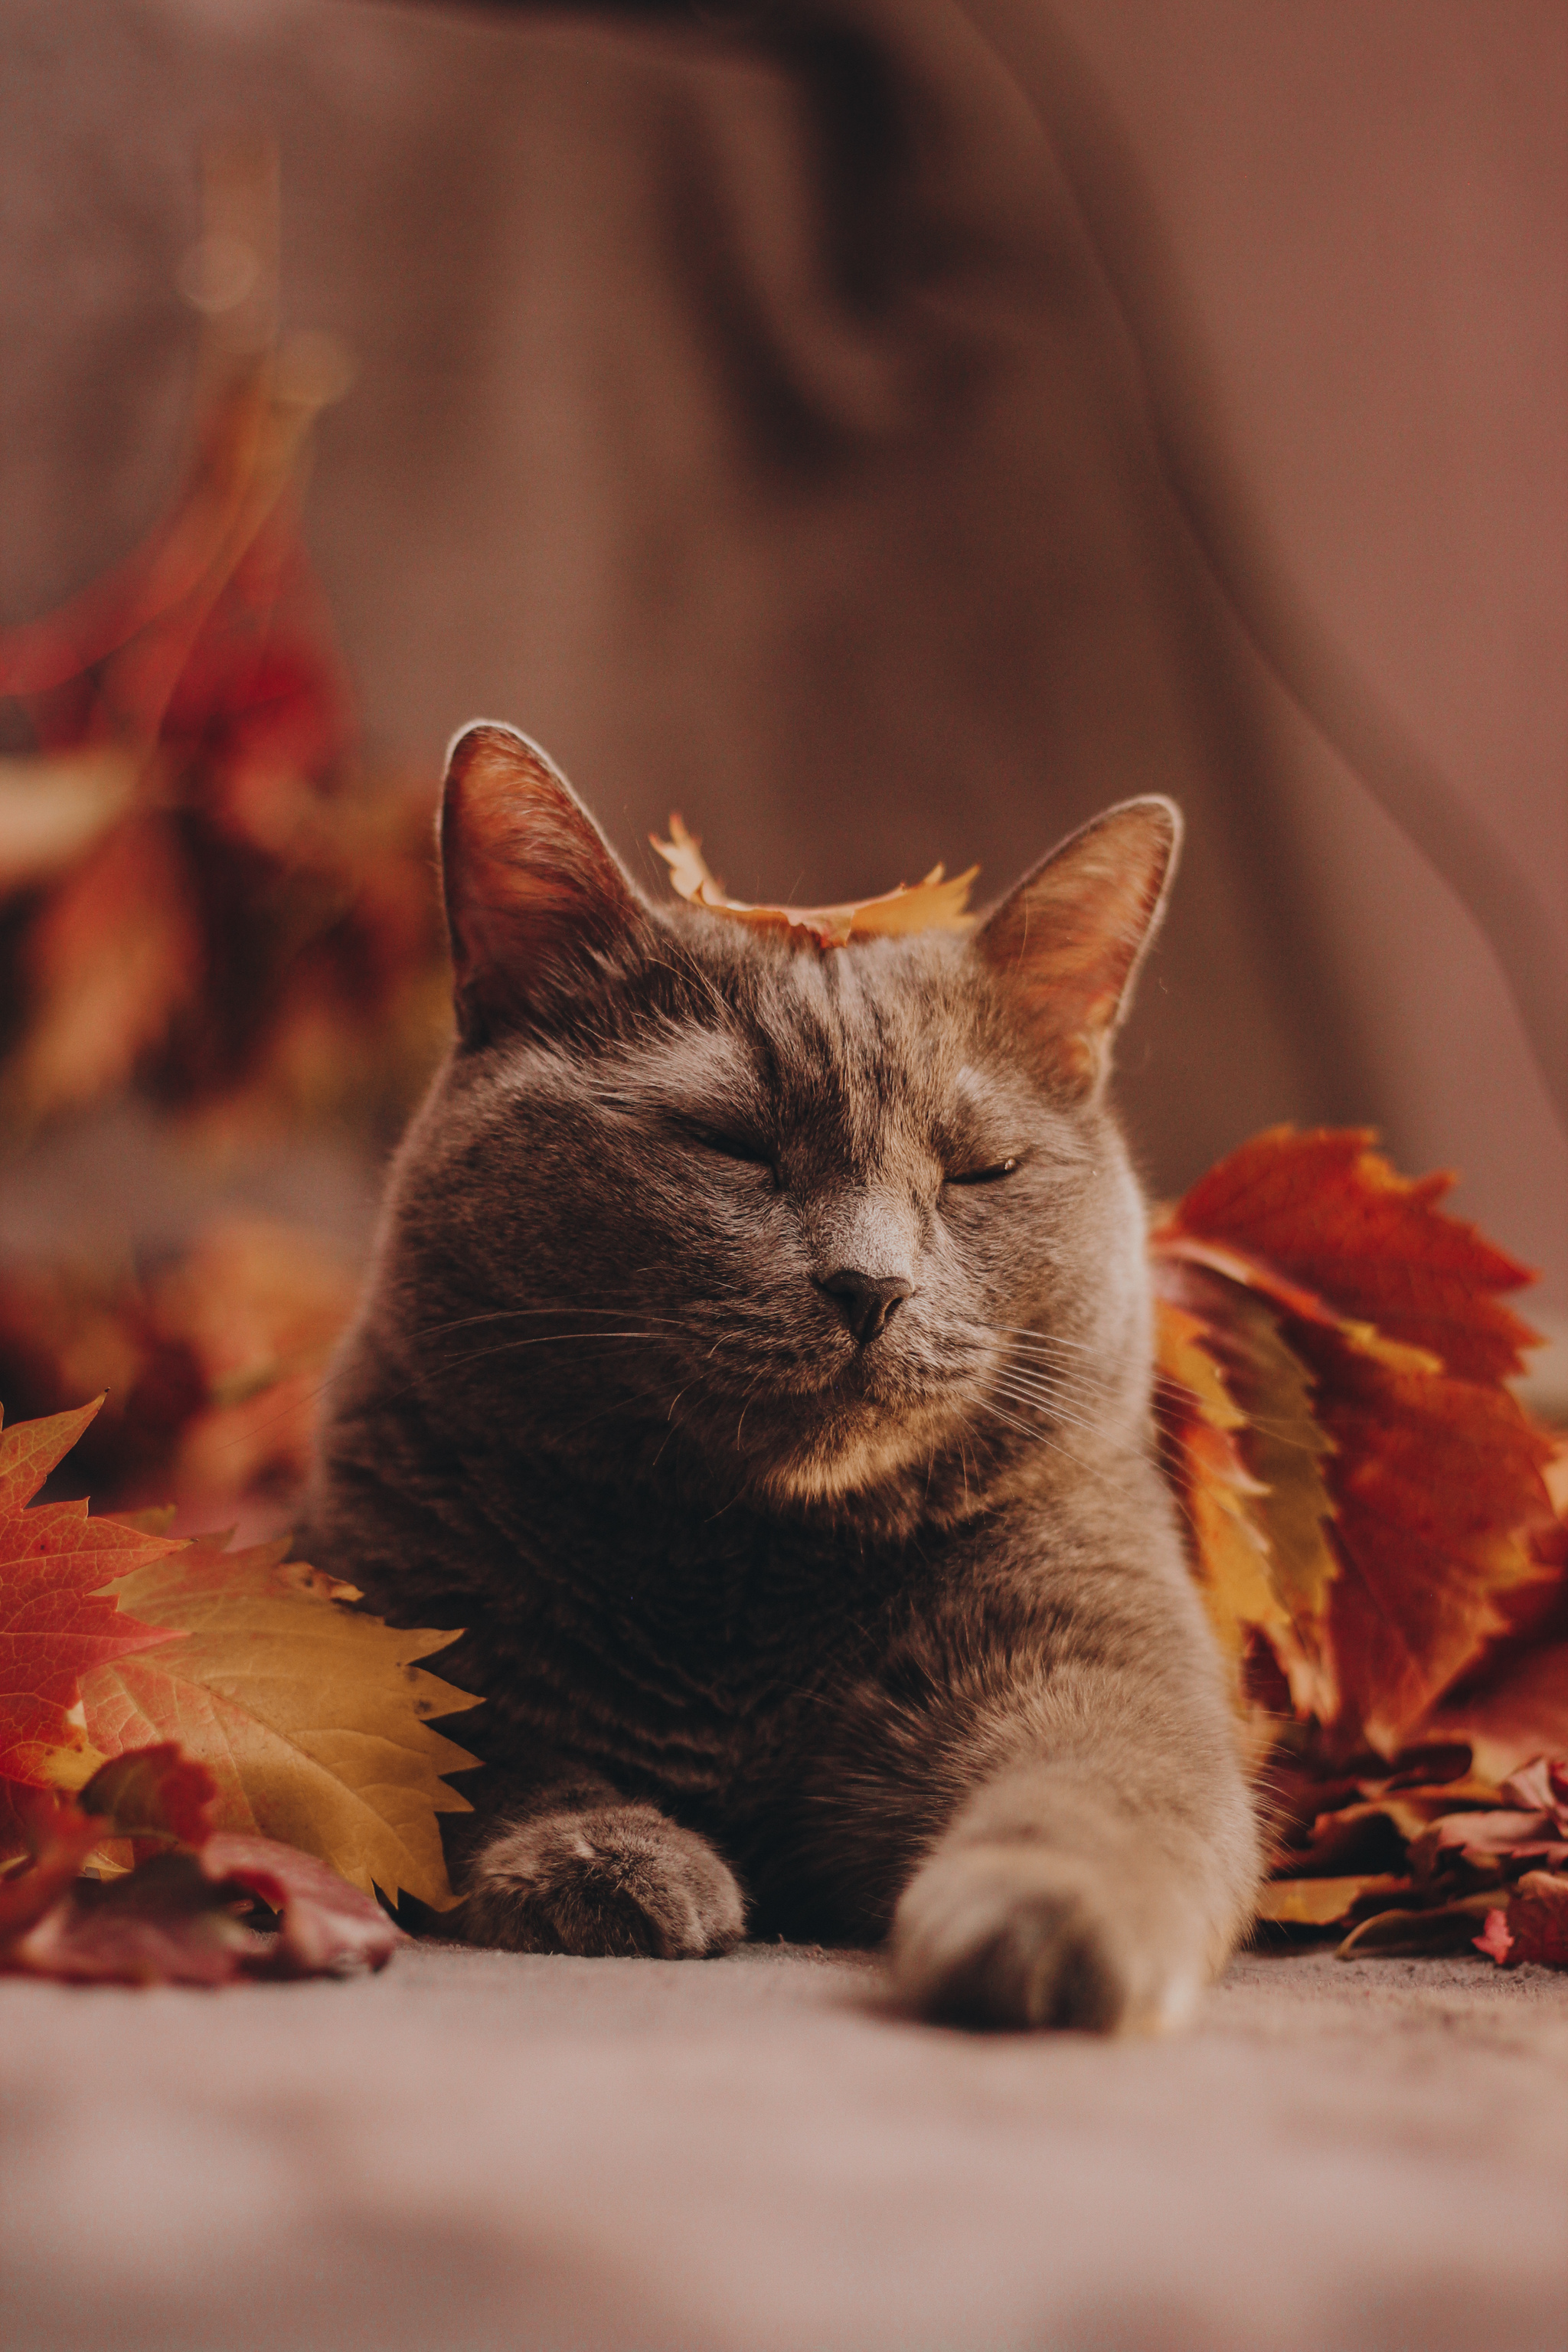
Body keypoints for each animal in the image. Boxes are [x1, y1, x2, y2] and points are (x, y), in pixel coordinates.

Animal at [303, 724, 1259, 2032]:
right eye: (728, 1143)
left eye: (979, 1169)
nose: (872, 1285)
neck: (752, 1578)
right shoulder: (391, 1618)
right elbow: (474, 1755)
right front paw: (607, 1857)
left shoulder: (1106, 1655)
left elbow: (1106, 1787)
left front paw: (1043, 1927)